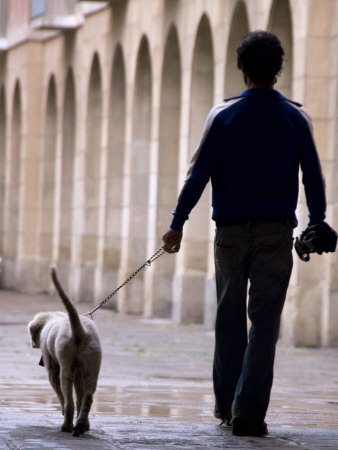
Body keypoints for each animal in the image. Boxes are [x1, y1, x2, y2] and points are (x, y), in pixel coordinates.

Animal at [27, 268, 101, 436]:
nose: (32, 344)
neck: (52, 317)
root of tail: (79, 332)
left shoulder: (51, 364)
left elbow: (57, 389)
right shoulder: (79, 371)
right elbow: (80, 393)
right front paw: (85, 425)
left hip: (65, 360)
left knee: (68, 398)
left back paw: (66, 426)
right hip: (93, 362)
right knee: (88, 396)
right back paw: (80, 424)